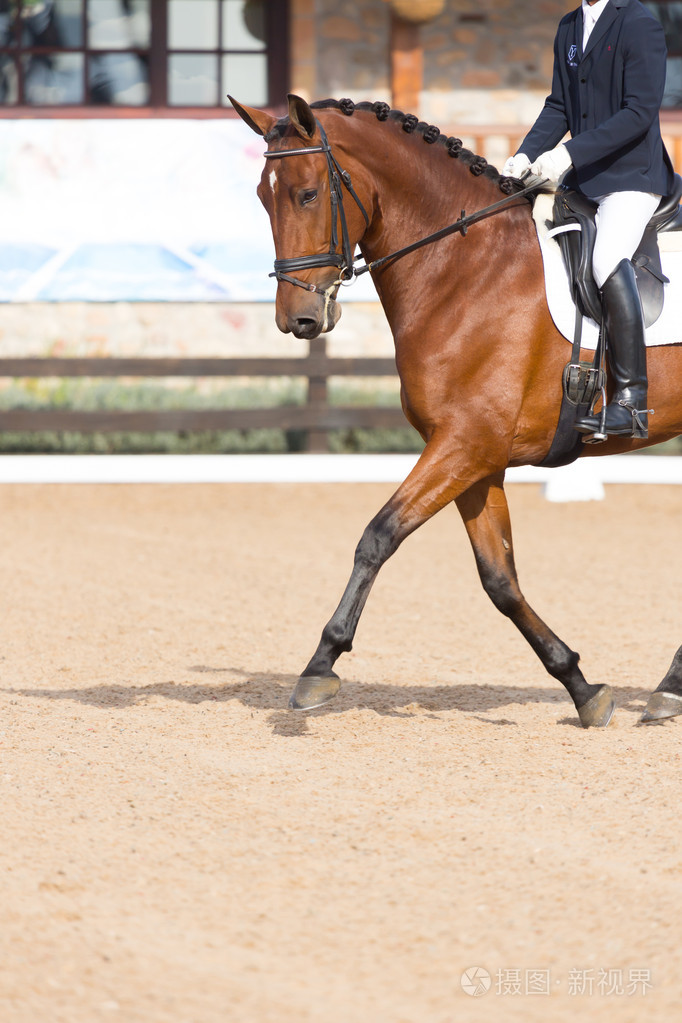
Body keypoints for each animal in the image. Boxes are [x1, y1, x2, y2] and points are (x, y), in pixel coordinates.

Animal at [230, 92, 682, 728]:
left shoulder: (464, 444)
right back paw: (669, 690)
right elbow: (500, 579)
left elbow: (378, 536)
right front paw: (581, 686)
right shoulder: (476, 457)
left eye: (308, 194)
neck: (464, 266)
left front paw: (320, 666)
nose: (299, 319)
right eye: (262, 196)